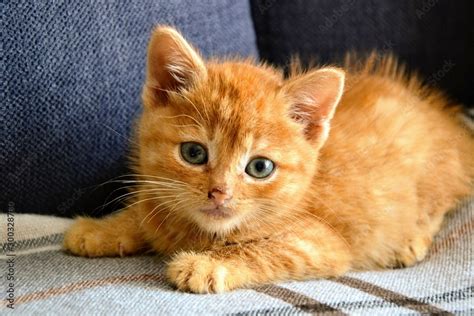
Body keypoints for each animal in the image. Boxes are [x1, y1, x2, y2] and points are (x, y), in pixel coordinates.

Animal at [64, 26, 474, 294]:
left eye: (259, 168)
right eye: (194, 153)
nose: (219, 193)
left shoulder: (319, 243)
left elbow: (265, 249)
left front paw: (205, 264)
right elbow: (148, 212)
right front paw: (104, 229)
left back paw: (410, 241)